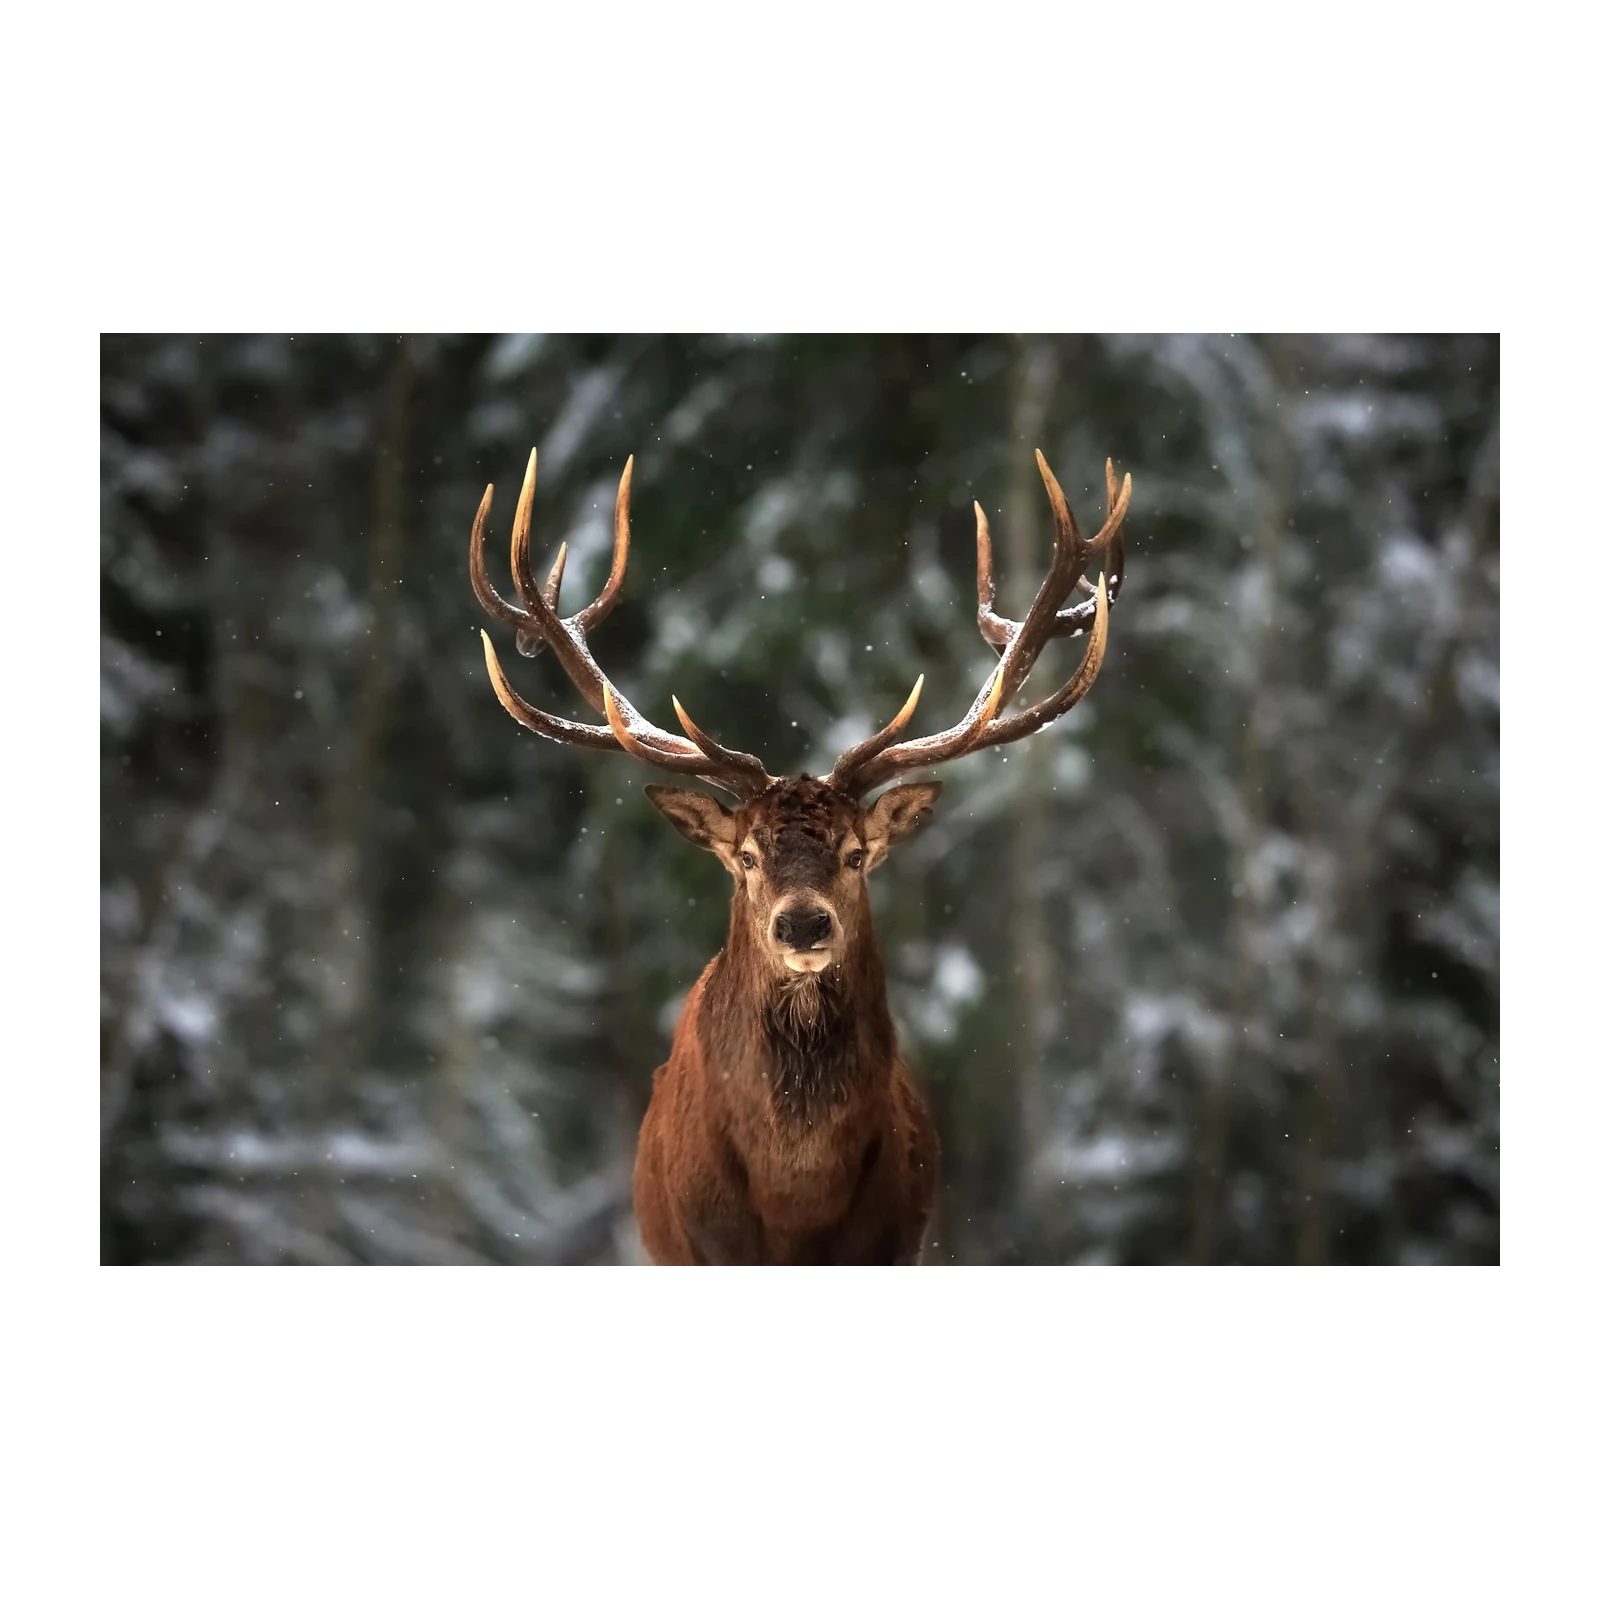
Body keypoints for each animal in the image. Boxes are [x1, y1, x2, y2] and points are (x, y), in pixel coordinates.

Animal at [468, 442, 1129, 1267]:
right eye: (747, 857)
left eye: (856, 855)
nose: (804, 925)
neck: (796, 1206)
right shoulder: (704, 1246)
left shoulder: (891, 1242)